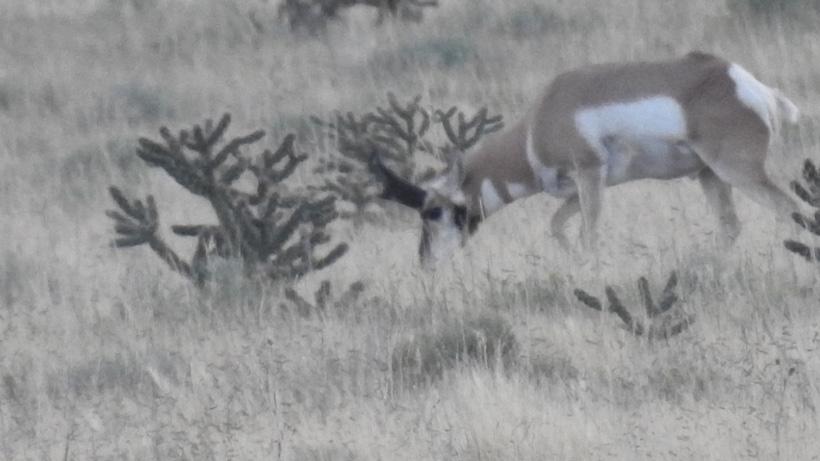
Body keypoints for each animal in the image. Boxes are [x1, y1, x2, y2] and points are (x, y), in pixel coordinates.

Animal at [371, 51, 801, 268]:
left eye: (433, 211)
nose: (425, 262)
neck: (540, 119)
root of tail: (750, 85)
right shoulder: (580, 187)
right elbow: (556, 226)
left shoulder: (590, 174)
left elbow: (588, 234)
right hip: (708, 175)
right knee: (730, 225)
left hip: (737, 171)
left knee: (791, 208)